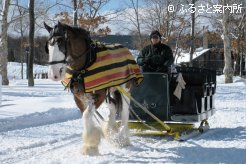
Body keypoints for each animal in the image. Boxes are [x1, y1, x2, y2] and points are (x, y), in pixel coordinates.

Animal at [44, 21, 143, 155]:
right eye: (48, 46)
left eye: (60, 43)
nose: (53, 74)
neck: (86, 63)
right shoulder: (79, 97)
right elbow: (85, 115)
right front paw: (91, 144)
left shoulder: (99, 95)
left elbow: (87, 115)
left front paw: (90, 145)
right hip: (110, 92)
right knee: (113, 107)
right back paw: (111, 132)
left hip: (125, 89)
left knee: (124, 112)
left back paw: (122, 138)